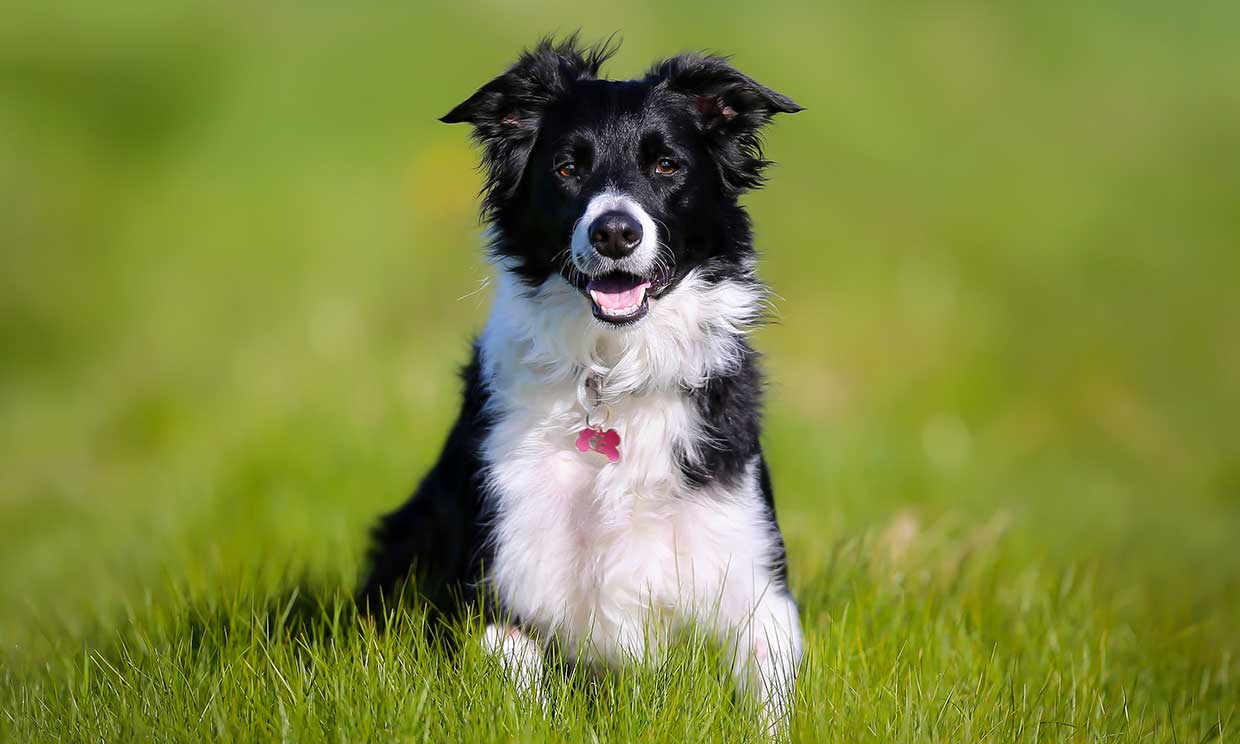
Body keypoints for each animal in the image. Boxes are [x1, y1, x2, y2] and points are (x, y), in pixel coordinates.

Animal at [359, 36, 803, 734]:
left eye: (667, 165)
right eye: (567, 169)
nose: (615, 231)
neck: (613, 376)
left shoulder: (757, 584)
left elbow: (767, 701)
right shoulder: (501, 585)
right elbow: (522, 688)